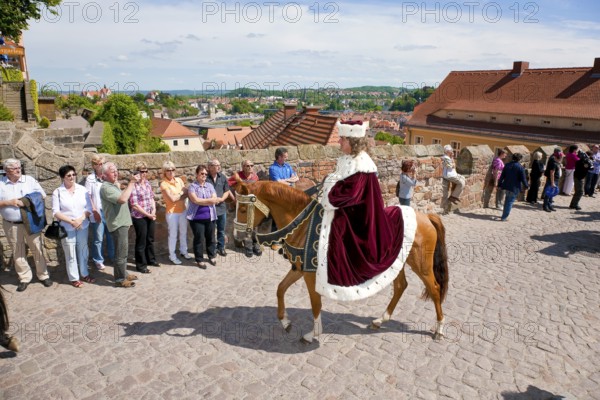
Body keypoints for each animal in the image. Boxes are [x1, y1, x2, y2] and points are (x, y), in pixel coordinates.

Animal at [232, 180, 448, 342]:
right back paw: (380, 320)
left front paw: (313, 334)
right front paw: (284, 322)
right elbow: (280, 288)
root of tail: (426, 216)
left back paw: (439, 329)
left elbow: (315, 303)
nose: (236, 235)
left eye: (242, 208)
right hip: (397, 264)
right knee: (401, 286)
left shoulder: (310, 275)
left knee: (434, 288)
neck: (303, 225)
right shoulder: (299, 269)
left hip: (421, 264)